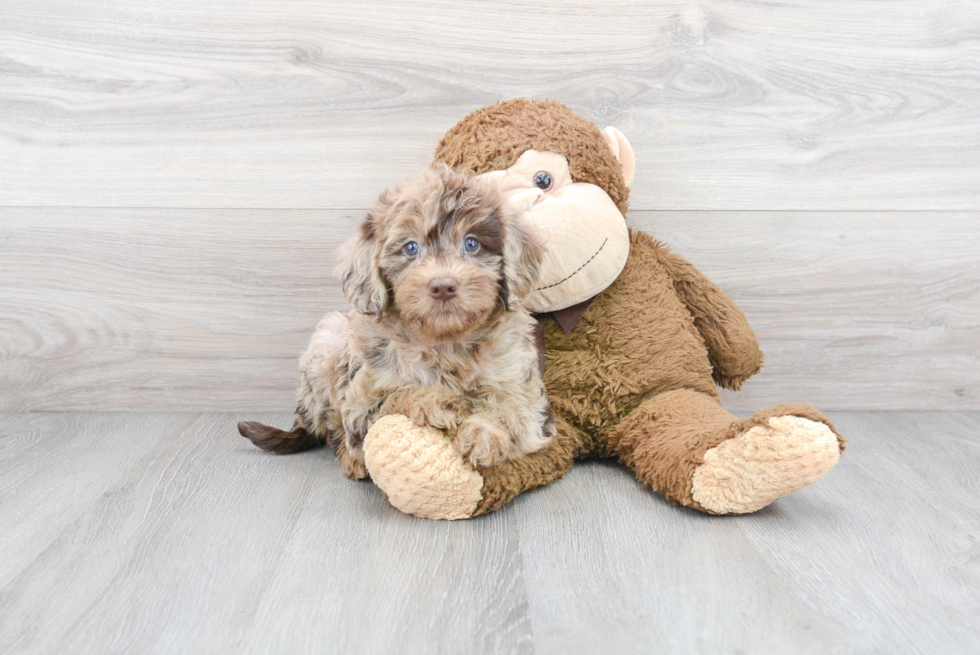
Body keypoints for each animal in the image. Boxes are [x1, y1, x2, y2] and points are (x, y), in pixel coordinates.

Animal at [239, 167, 552, 480]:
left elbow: (511, 409)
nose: (443, 286)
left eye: (472, 243)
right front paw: (435, 402)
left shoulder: (522, 390)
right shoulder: (362, 400)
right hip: (328, 339)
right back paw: (352, 460)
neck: (445, 342)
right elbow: (397, 394)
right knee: (331, 431)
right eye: (410, 247)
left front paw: (482, 434)